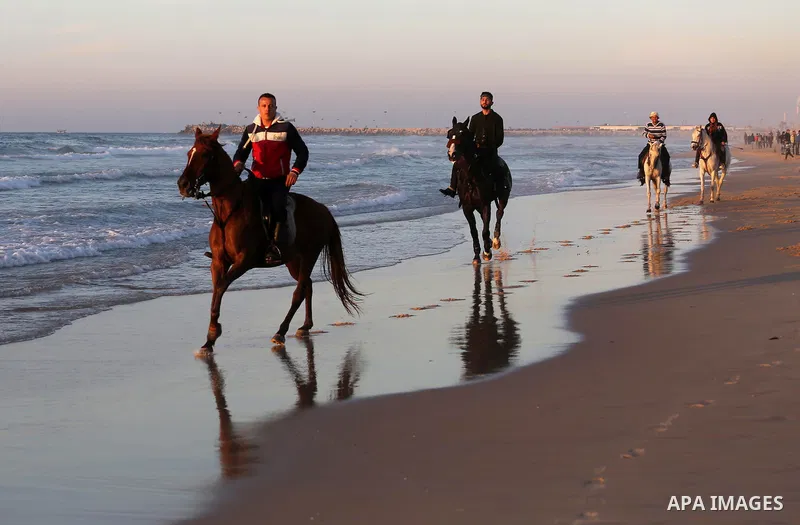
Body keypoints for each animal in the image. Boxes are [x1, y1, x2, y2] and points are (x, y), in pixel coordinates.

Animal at [177, 127, 362, 349]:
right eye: (189, 153)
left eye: (205, 154)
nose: (183, 185)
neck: (229, 213)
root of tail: (323, 210)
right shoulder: (218, 261)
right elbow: (216, 292)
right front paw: (209, 340)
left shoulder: (244, 261)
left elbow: (221, 287)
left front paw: (213, 332)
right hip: (293, 261)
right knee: (307, 285)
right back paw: (305, 326)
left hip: (309, 255)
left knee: (299, 292)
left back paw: (281, 331)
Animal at [446, 116, 512, 264]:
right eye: (450, 133)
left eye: (462, 134)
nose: (452, 154)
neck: (471, 177)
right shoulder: (467, 208)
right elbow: (474, 231)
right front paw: (477, 256)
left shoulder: (485, 204)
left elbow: (485, 230)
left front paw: (487, 252)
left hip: (503, 197)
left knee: (499, 214)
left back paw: (495, 241)